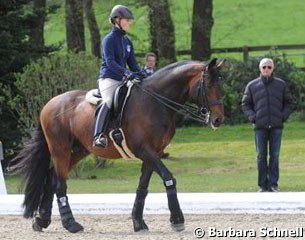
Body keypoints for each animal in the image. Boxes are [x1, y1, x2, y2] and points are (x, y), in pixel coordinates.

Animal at [9, 58, 224, 232]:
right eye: (208, 84)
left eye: (221, 84)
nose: (218, 120)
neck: (156, 102)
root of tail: (49, 103)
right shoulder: (145, 150)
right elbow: (169, 178)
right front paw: (177, 220)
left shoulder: (153, 152)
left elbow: (142, 187)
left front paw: (138, 223)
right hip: (60, 148)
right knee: (59, 183)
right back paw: (71, 224)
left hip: (78, 151)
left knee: (51, 178)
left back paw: (41, 221)